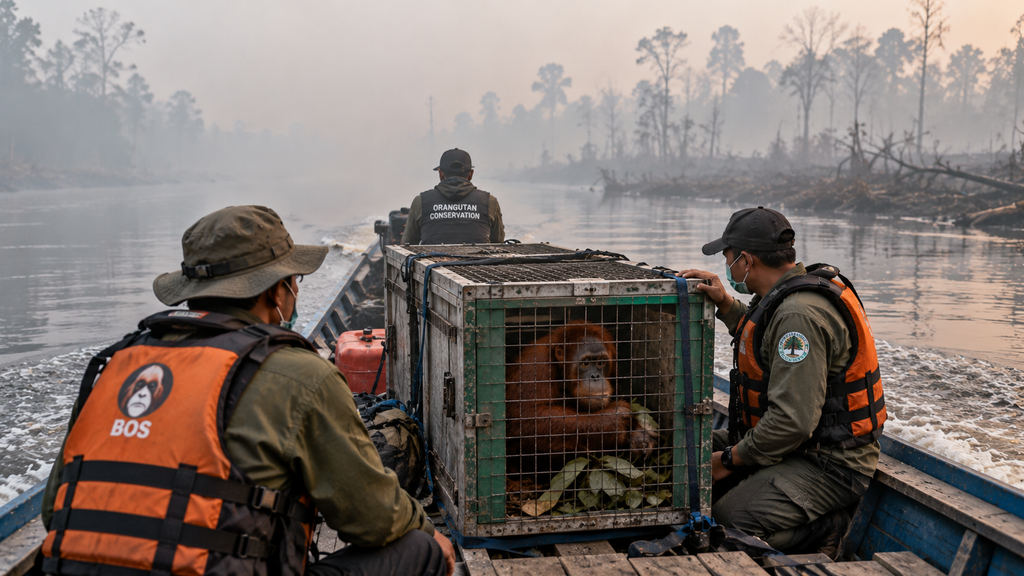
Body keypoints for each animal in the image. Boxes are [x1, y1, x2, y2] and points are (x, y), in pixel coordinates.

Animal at [505, 321, 660, 475]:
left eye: (600, 363)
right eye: (585, 363)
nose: (595, 376)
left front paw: (639, 438)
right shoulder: (534, 366)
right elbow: (526, 417)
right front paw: (612, 420)